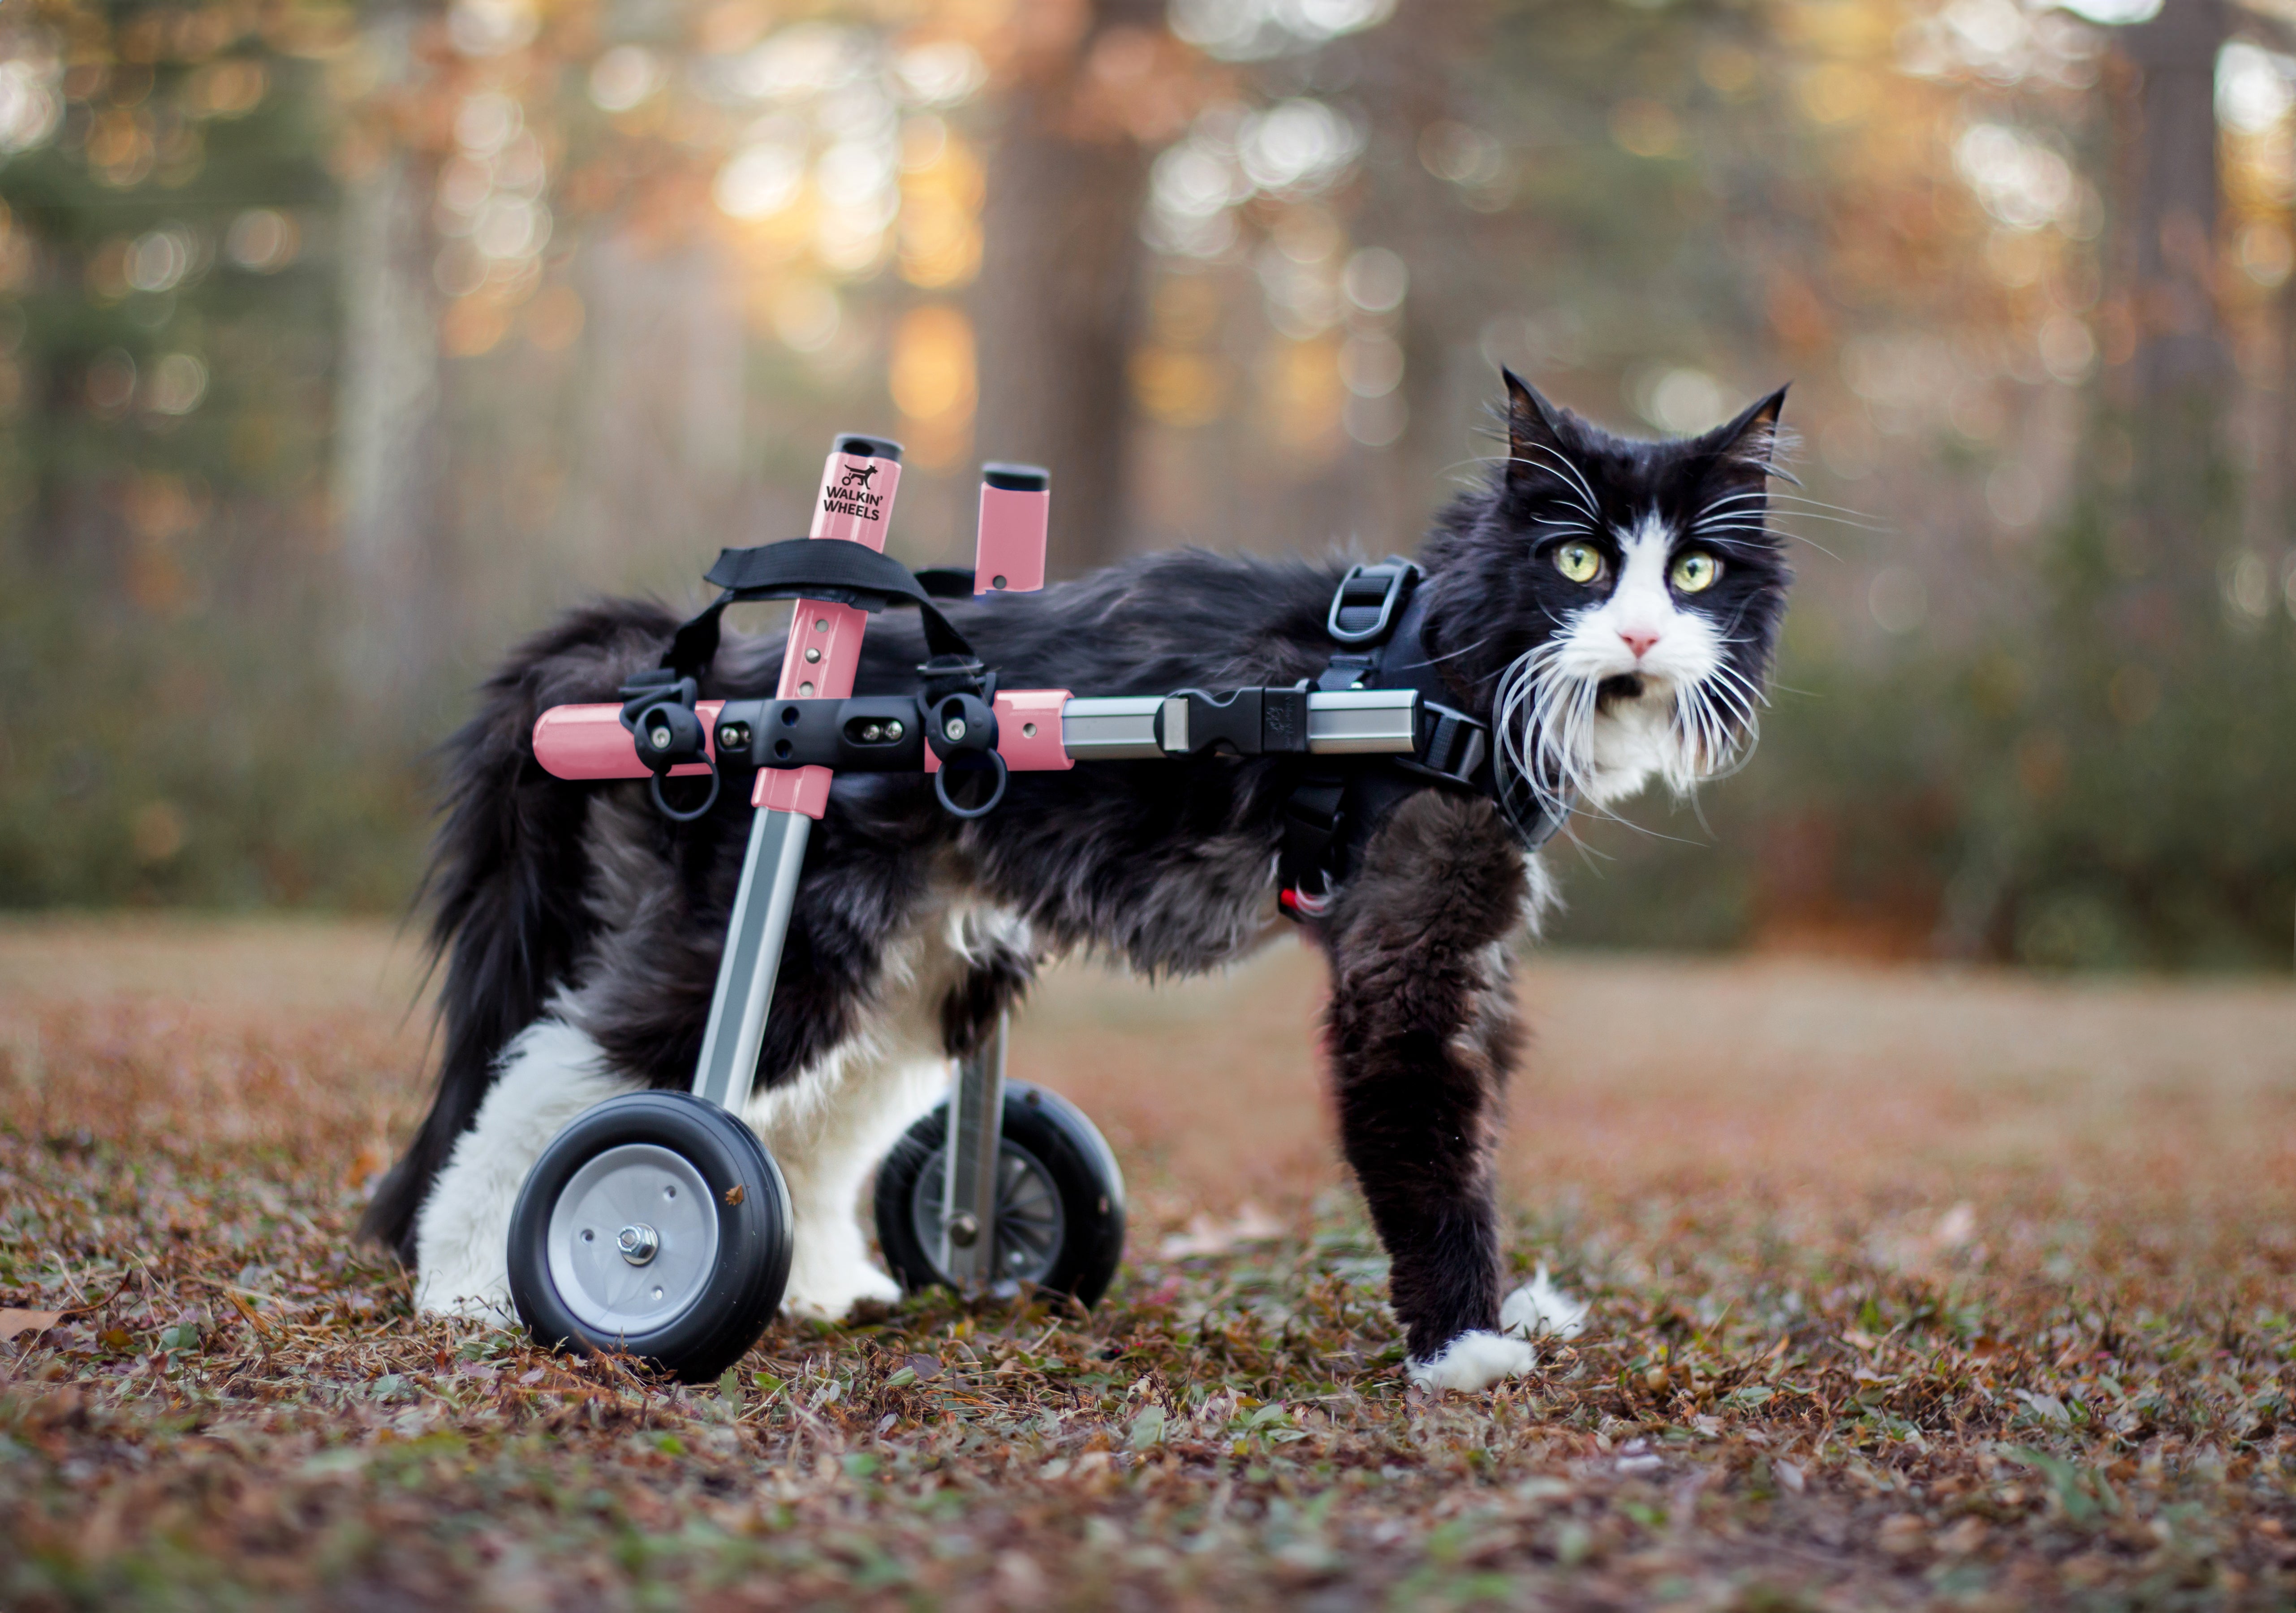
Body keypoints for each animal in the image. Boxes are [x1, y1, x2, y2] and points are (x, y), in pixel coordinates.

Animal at [362, 372, 1791, 1397]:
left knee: (809, 1128)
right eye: (1578, 563)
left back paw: (824, 1283)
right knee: (561, 1081)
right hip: (775, 946)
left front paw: (1507, 1318)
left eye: (1695, 571)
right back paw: (485, 1280)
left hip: (900, 973)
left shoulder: (1477, 958)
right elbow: (1433, 1148)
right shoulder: (1406, 964)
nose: (1643, 632)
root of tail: (709, 682)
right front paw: (1464, 1347)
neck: (1440, 662)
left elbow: (1481, 1127)